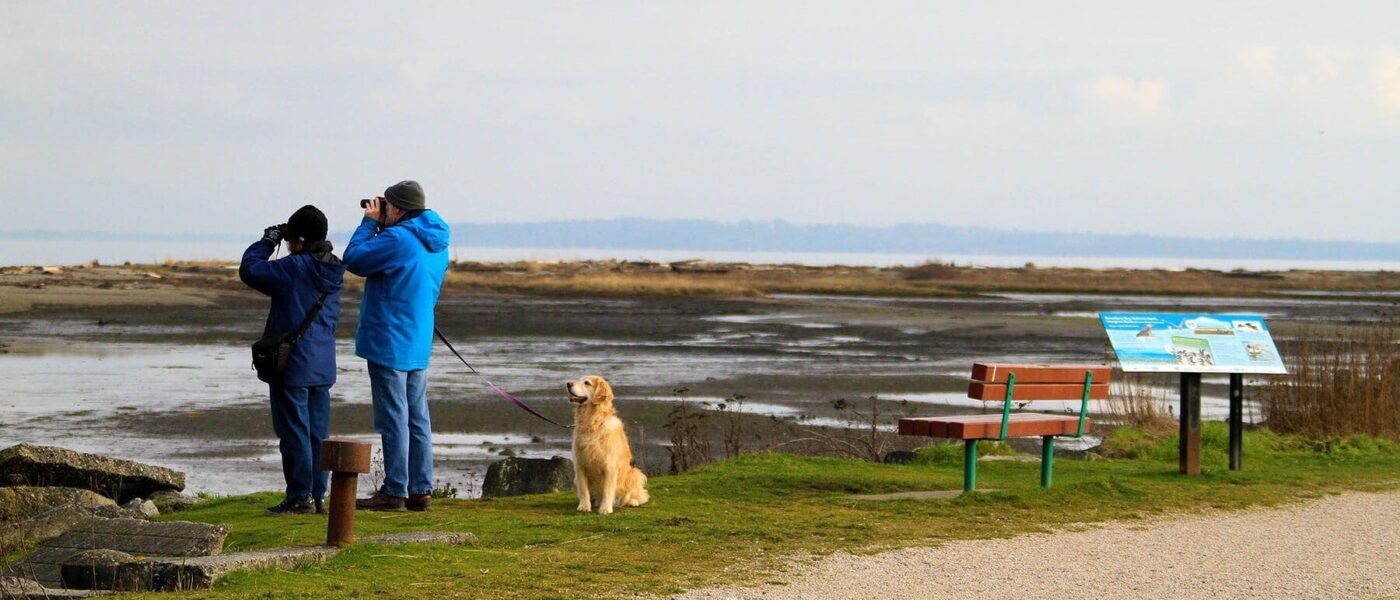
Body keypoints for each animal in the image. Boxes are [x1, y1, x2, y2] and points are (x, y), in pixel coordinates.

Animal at [562, 377, 649, 511]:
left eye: (587, 383)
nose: (568, 384)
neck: (592, 423)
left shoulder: (609, 465)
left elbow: (607, 490)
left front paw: (605, 509)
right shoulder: (580, 464)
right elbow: (584, 490)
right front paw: (584, 506)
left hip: (635, 473)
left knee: (637, 494)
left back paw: (632, 501)